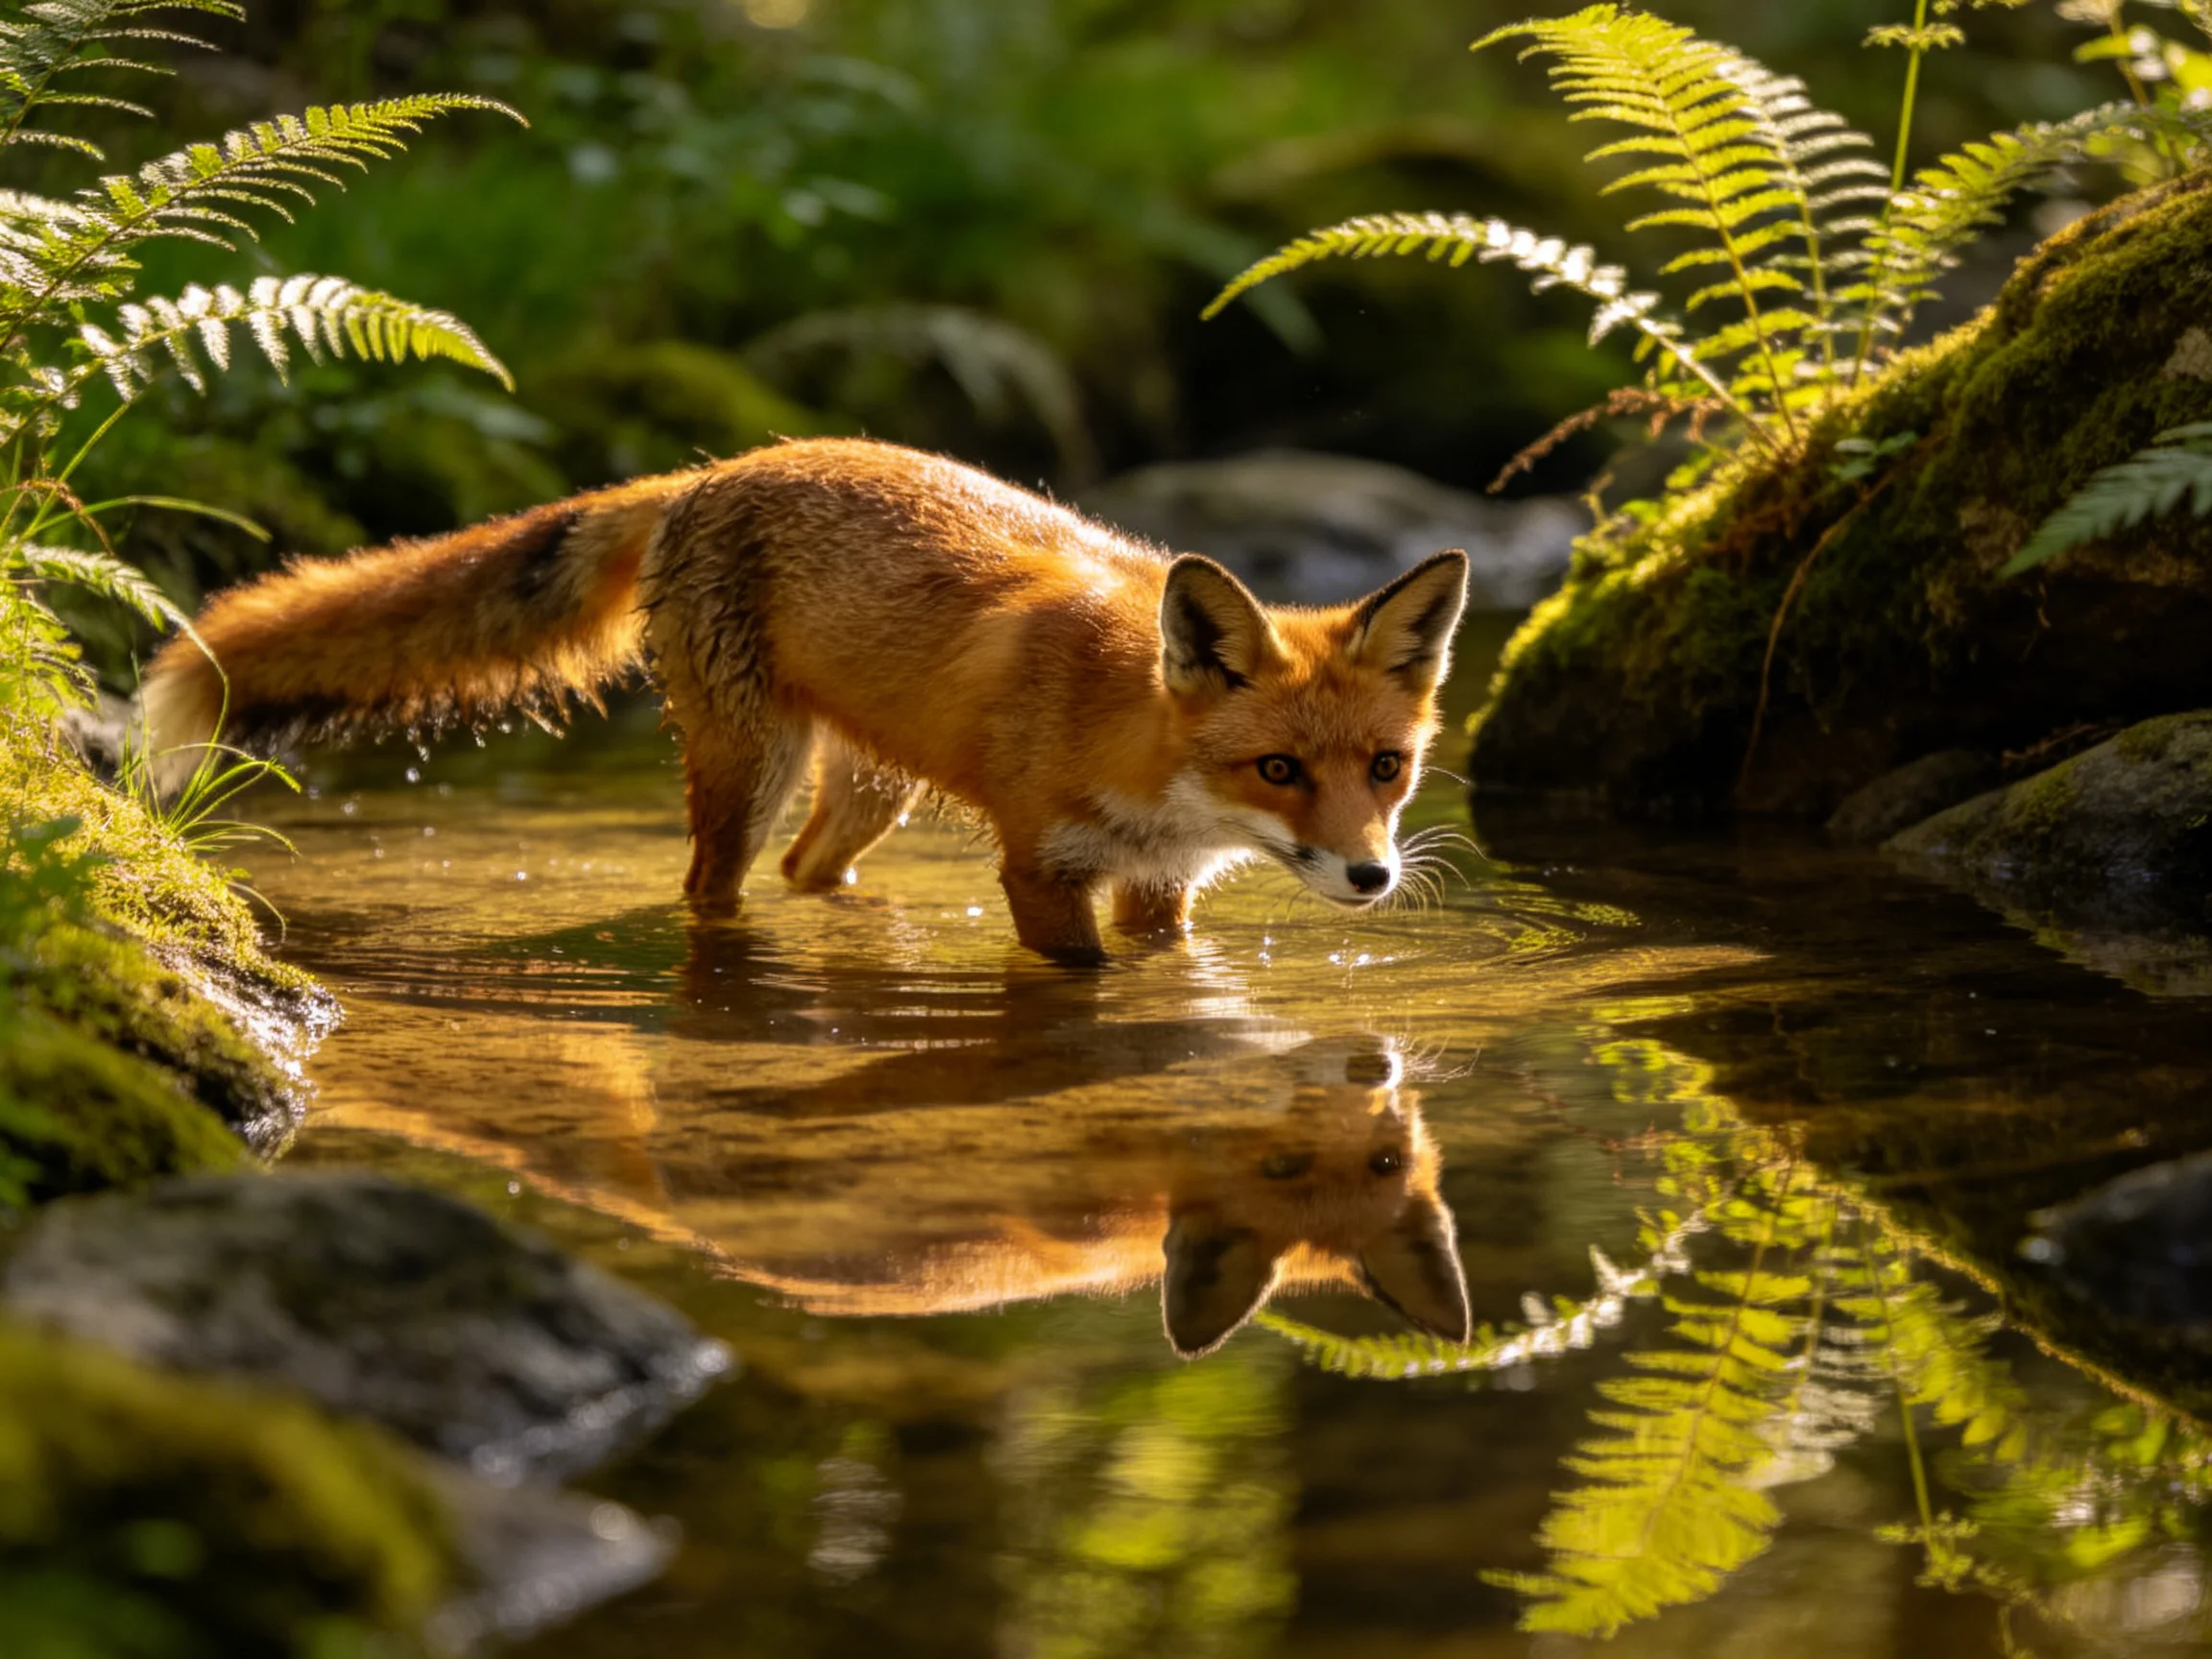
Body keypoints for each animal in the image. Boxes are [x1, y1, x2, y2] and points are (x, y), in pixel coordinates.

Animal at [141, 437, 1469, 963]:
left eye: (1387, 768)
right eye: (1279, 771)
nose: (1372, 878)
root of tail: (712, 470)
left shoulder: (1156, 893)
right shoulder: (1039, 871)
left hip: (870, 791)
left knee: (811, 876)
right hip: (748, 767)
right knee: (715, 889)